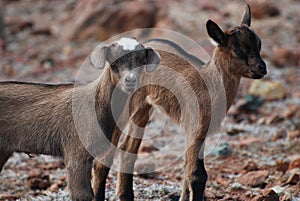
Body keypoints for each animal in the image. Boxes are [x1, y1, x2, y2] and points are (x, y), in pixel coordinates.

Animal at [94, 4, 268, 201]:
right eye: (237, 50)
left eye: (259, 44)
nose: (262, 68)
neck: (209, 84)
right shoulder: (194, 127)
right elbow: (197, 175)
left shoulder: (197, 131)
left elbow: (187, 170)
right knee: (105, 156)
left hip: (142, 109)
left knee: (127, 150)